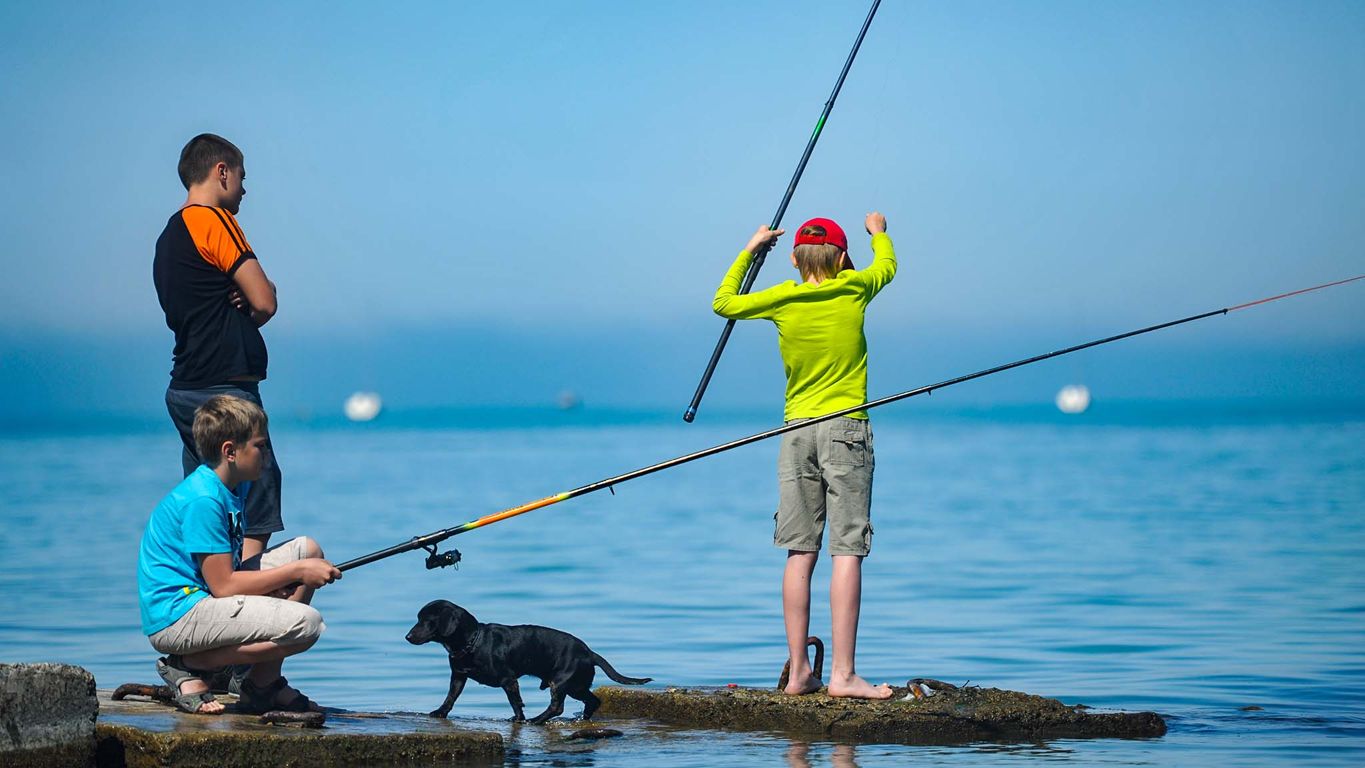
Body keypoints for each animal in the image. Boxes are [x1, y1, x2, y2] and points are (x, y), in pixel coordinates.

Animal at [404, 597, 649, 725]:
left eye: (426, 620)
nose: (407, 636)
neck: (474, 641)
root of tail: (589, 653)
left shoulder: (509, 680)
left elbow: (515, 701)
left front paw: (519, 718)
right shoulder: (458, 676)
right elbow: (451, 697)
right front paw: (440, 712)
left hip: (561, 682)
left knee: (557, 707)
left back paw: (536, 720)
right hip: (576, 686)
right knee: (592, 701)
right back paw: (583, 719)